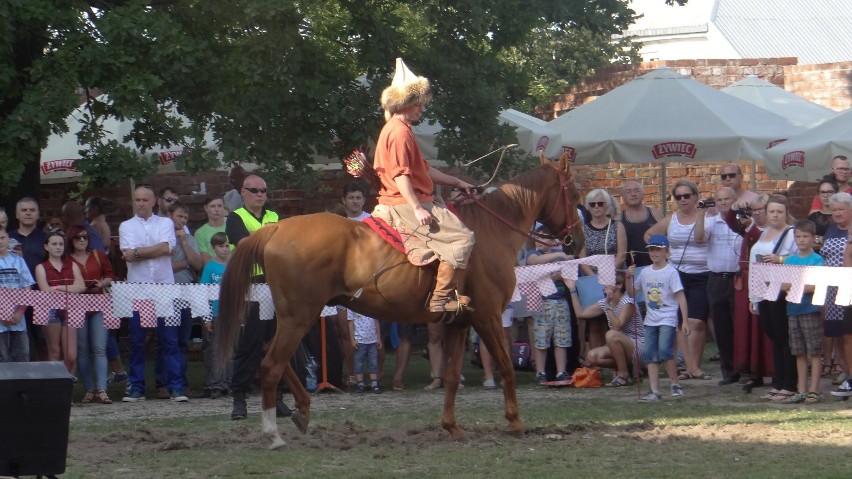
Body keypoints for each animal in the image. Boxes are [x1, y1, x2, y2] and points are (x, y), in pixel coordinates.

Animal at [216, 154, 584, 450]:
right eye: (576, 194)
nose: (577, 240)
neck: (491, 231)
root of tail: (274, 229)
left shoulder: (460, 323)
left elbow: (451, 377)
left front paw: (451, 427)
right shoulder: (488, 317)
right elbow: (506, 367)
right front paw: (515, 421)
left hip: (295, 317)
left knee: (273, 357)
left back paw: (302, 411)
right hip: (299, 317)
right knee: (271, 364)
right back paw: (273, 434)